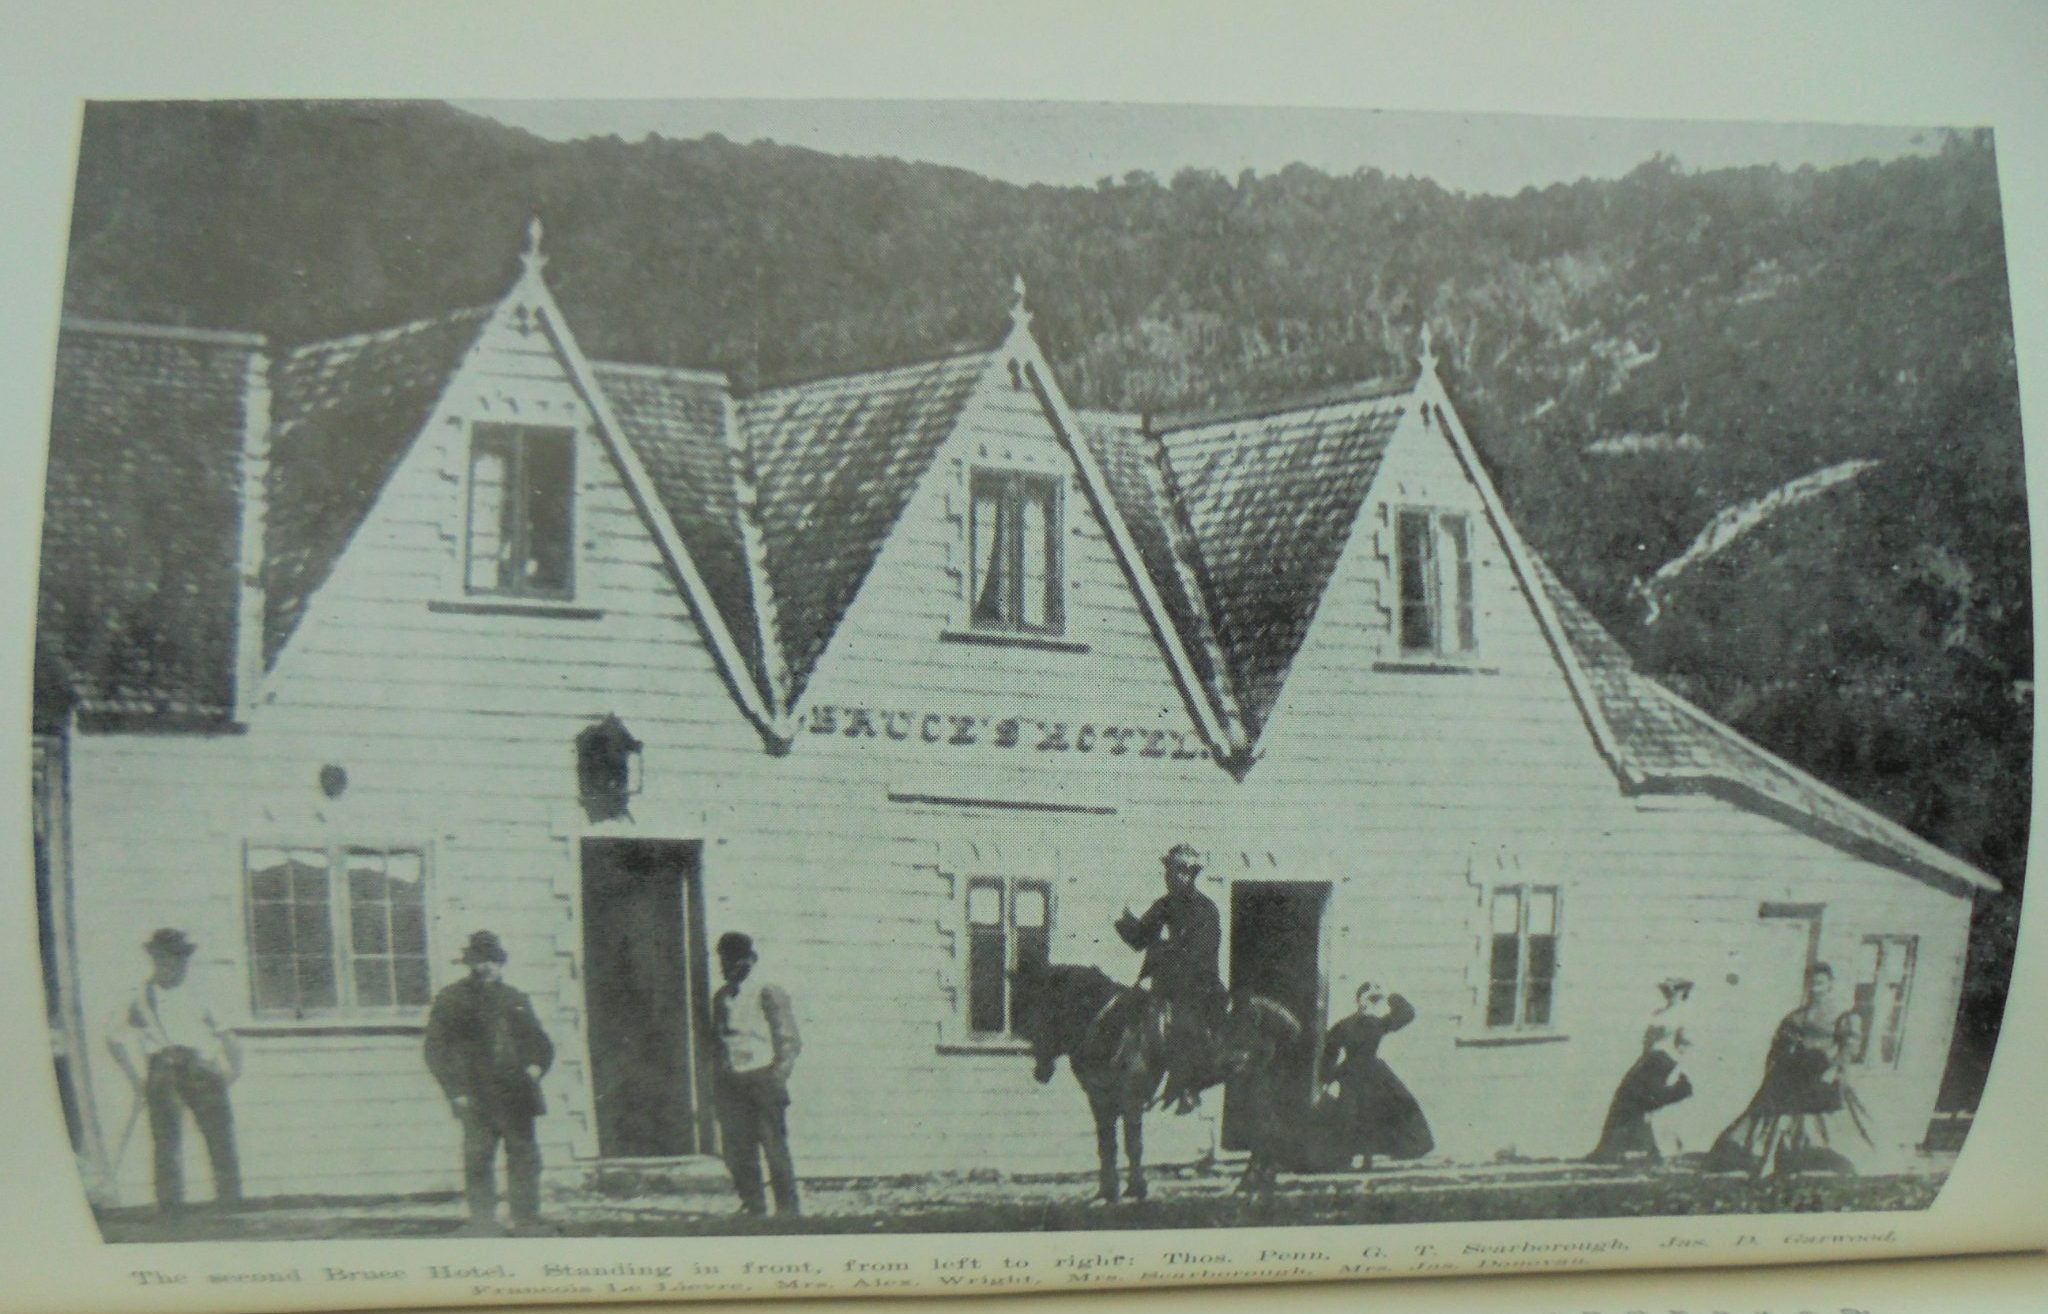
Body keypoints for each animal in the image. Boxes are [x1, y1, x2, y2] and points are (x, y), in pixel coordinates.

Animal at [1015, 949, 1302, 1195]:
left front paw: (1136, 1188)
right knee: (1269, 1129)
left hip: (1255, 1087)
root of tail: (1282, 1017)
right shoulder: (1099, 1100)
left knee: (1266, 1129)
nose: (1040, 1071)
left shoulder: (1130, 1100)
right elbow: (1107, 1146)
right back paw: (1259, 1181)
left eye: (1047, 1010)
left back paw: (1252, 1182)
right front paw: (1108, 1191)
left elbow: (1133, 1145)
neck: (1114, 1028)